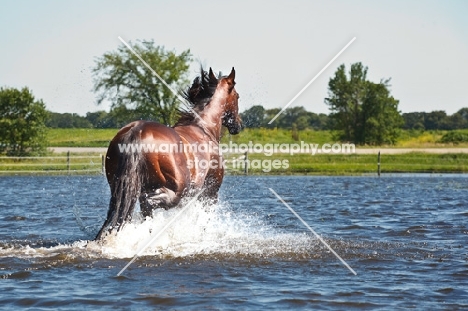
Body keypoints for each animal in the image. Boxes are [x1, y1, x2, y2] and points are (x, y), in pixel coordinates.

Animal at [95, 67, 241, 240]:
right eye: (237, 96)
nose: (238, 125)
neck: (204, 128)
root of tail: (137, 131)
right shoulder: (210, 192)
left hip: (120, 188)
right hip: (176, 192)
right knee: (149, 203)